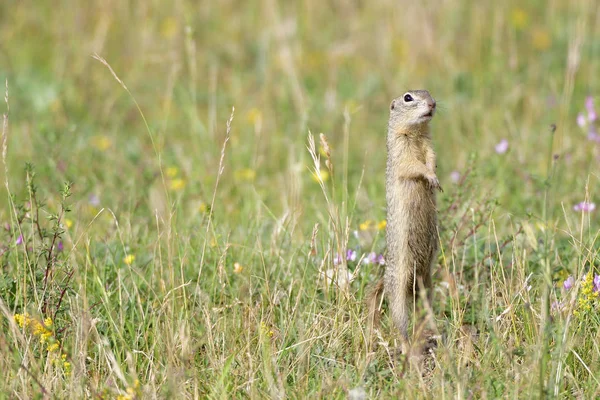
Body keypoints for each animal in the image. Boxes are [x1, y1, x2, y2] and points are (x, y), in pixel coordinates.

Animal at [366, 90, 440, 354]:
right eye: (408, 97)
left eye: (429, 93)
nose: (432, 104)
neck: (415, 133)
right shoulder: (401, 150)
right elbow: (413, 165)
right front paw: (431, 178)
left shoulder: (429, 144)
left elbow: (431, 157)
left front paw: (435, 177)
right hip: (398, 290)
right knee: (399, 323)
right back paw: (408, 347)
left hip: (426, 285)